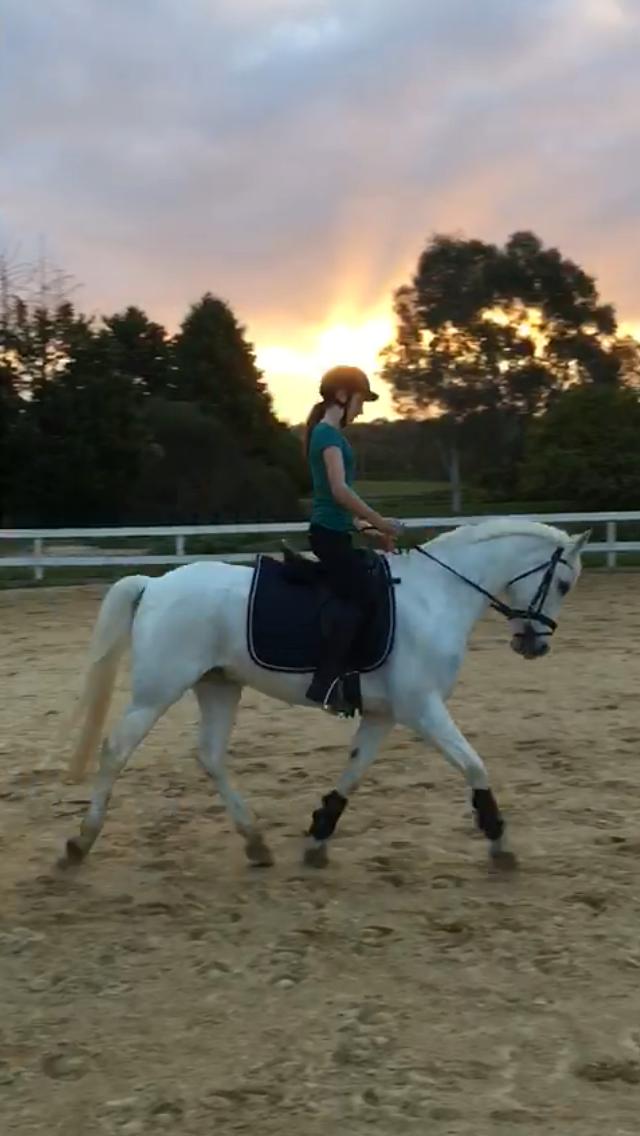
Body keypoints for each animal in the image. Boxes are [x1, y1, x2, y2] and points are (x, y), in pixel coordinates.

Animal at [60, 517, 589, 872]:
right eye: (564, 583)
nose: (535, 645)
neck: (436, 597)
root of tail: (154, 584)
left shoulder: (384, 715)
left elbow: (353, 773)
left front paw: (318, 836)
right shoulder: (422, 708)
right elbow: (474, 765)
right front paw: (499, 842)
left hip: (218, 685)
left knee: (209, 755)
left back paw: (256, 842)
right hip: (158, 690)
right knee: (116, 750)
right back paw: (80, 843)